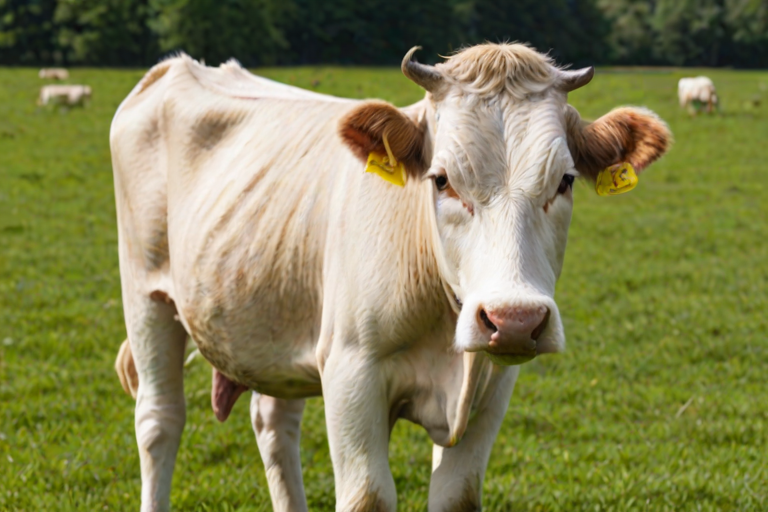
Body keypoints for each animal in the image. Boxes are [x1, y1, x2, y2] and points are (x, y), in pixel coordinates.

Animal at [110, 43, 671, 511]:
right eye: (441, 180)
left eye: (566, 180)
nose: (513, 319)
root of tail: (177, 67)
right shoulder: (351, 371)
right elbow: (367, 497)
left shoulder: (494, 385)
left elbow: (457, 497)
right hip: (145, 295)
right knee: (159, 422)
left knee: (273, 425)